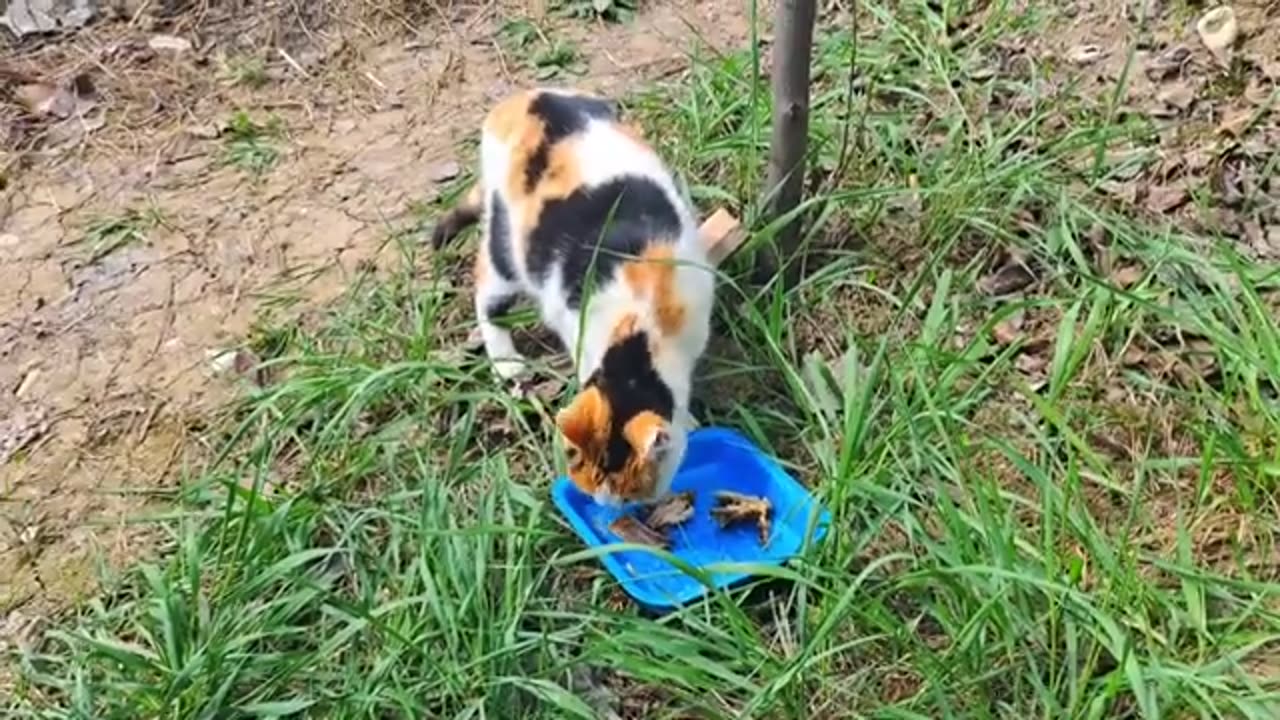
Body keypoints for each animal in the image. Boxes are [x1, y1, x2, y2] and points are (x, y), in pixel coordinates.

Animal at [432, 87, 716, 504]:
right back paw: (507, 363)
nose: (606, 506)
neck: (637, 325)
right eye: (589, 475)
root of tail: (520, 100)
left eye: (628, 491)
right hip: (507, 243)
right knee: (486, 291)